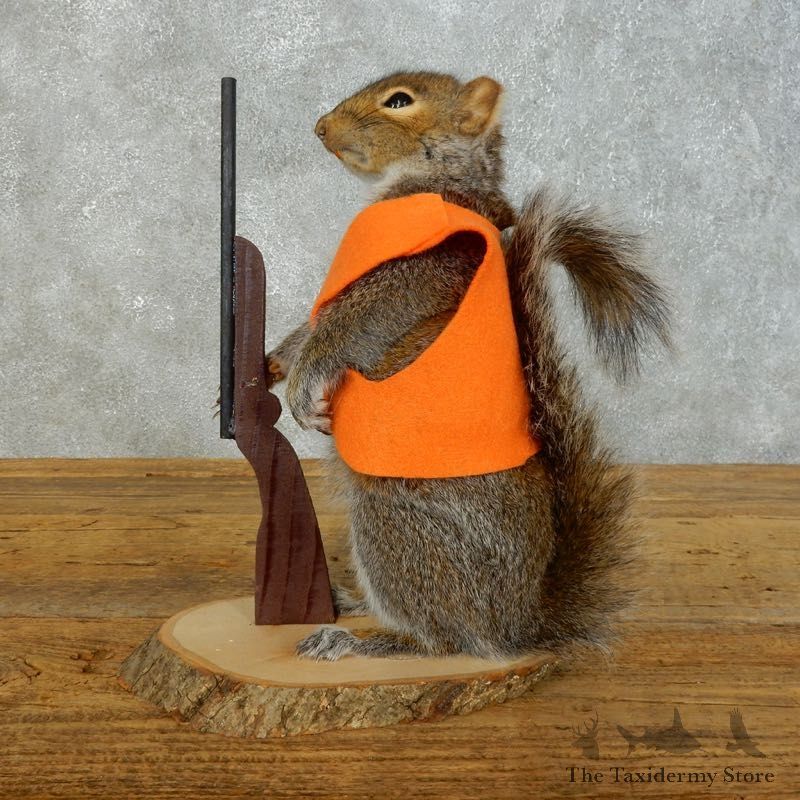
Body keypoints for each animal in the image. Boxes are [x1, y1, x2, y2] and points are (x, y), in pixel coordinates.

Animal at [266, 71, 670, 661]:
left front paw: (302, 382)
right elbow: (312, 324)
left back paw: (364, 642)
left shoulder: (427, 267)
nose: (321, 128)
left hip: (393, 523)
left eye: (400, 101)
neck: (430, 178)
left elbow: (351, 322)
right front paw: (277, 360)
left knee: (446, 641)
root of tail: (520, 622)